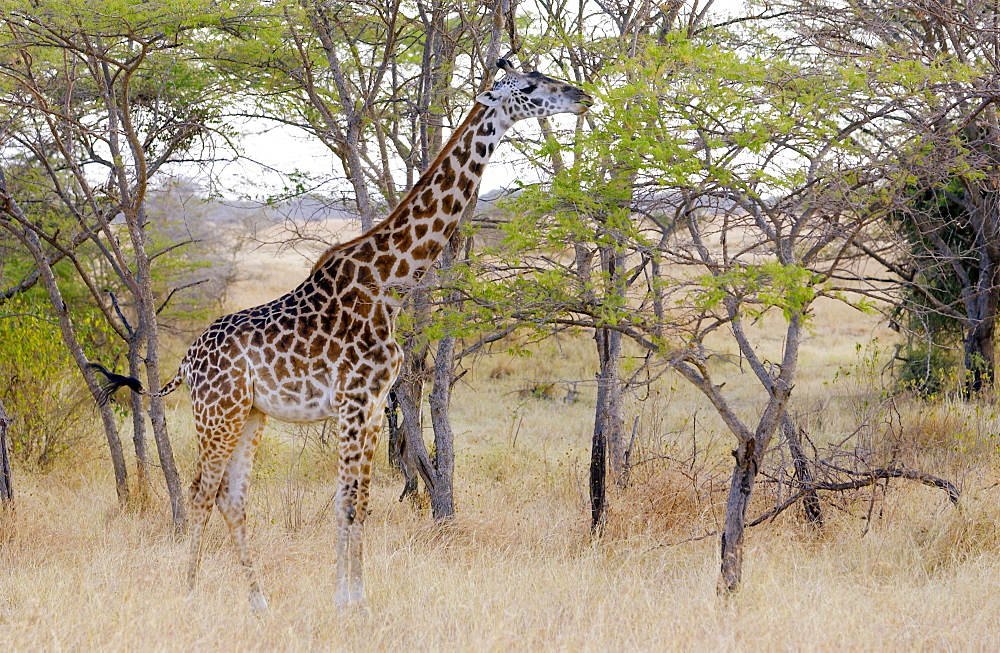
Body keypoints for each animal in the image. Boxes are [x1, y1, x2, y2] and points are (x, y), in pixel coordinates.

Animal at [90, 59, 588, 612]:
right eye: (527, 87)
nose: (582, 96)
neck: (391, 283)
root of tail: (185, 363)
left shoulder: (370, 408)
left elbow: (359, 503)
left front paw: (350, 598)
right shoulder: (354, 402)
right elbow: (349, 505)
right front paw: (350, 604)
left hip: (251, 416)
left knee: (230, 497)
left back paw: (259, 603)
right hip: (217, 413)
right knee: (201, 491)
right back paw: (191, 594)